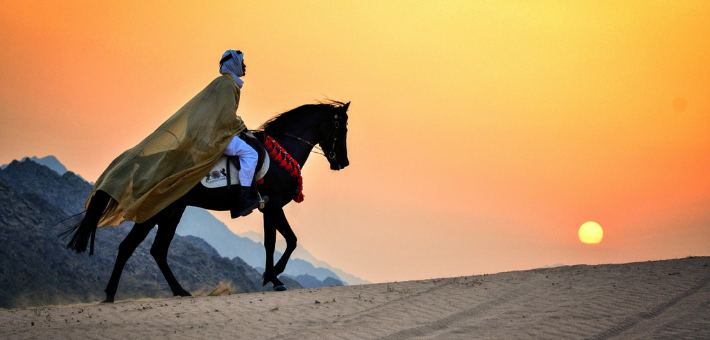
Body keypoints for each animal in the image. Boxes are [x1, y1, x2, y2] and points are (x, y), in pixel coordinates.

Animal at [64, 100, 350, 302]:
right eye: (342, 127)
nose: (343, 162)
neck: (282, 150)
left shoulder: (269, 207)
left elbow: (284, 241)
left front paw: (272, 275)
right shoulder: (273, 205)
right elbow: (280, 241)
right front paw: (273, 277)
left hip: (172, 211)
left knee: (157, 250)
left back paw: (178, 291)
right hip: (157, 212)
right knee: (130, 247)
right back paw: (112, 294)